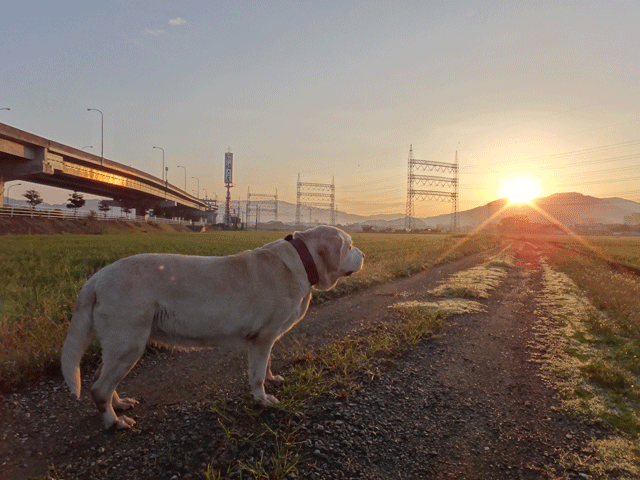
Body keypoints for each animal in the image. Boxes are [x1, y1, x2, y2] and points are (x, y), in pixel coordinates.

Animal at [62, 226, 362, 432]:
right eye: (349, 246)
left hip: (120, 346)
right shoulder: (262, 337)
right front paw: (262, 398)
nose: (363, 253)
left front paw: (272, 379)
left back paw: (119, 404)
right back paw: (115, 422)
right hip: (129, 344)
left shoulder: (265, 340)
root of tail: (97, 278)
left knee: (102, 377)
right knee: (99, 388)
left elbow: (265, 366)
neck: (302, 260)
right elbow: (256, 375)